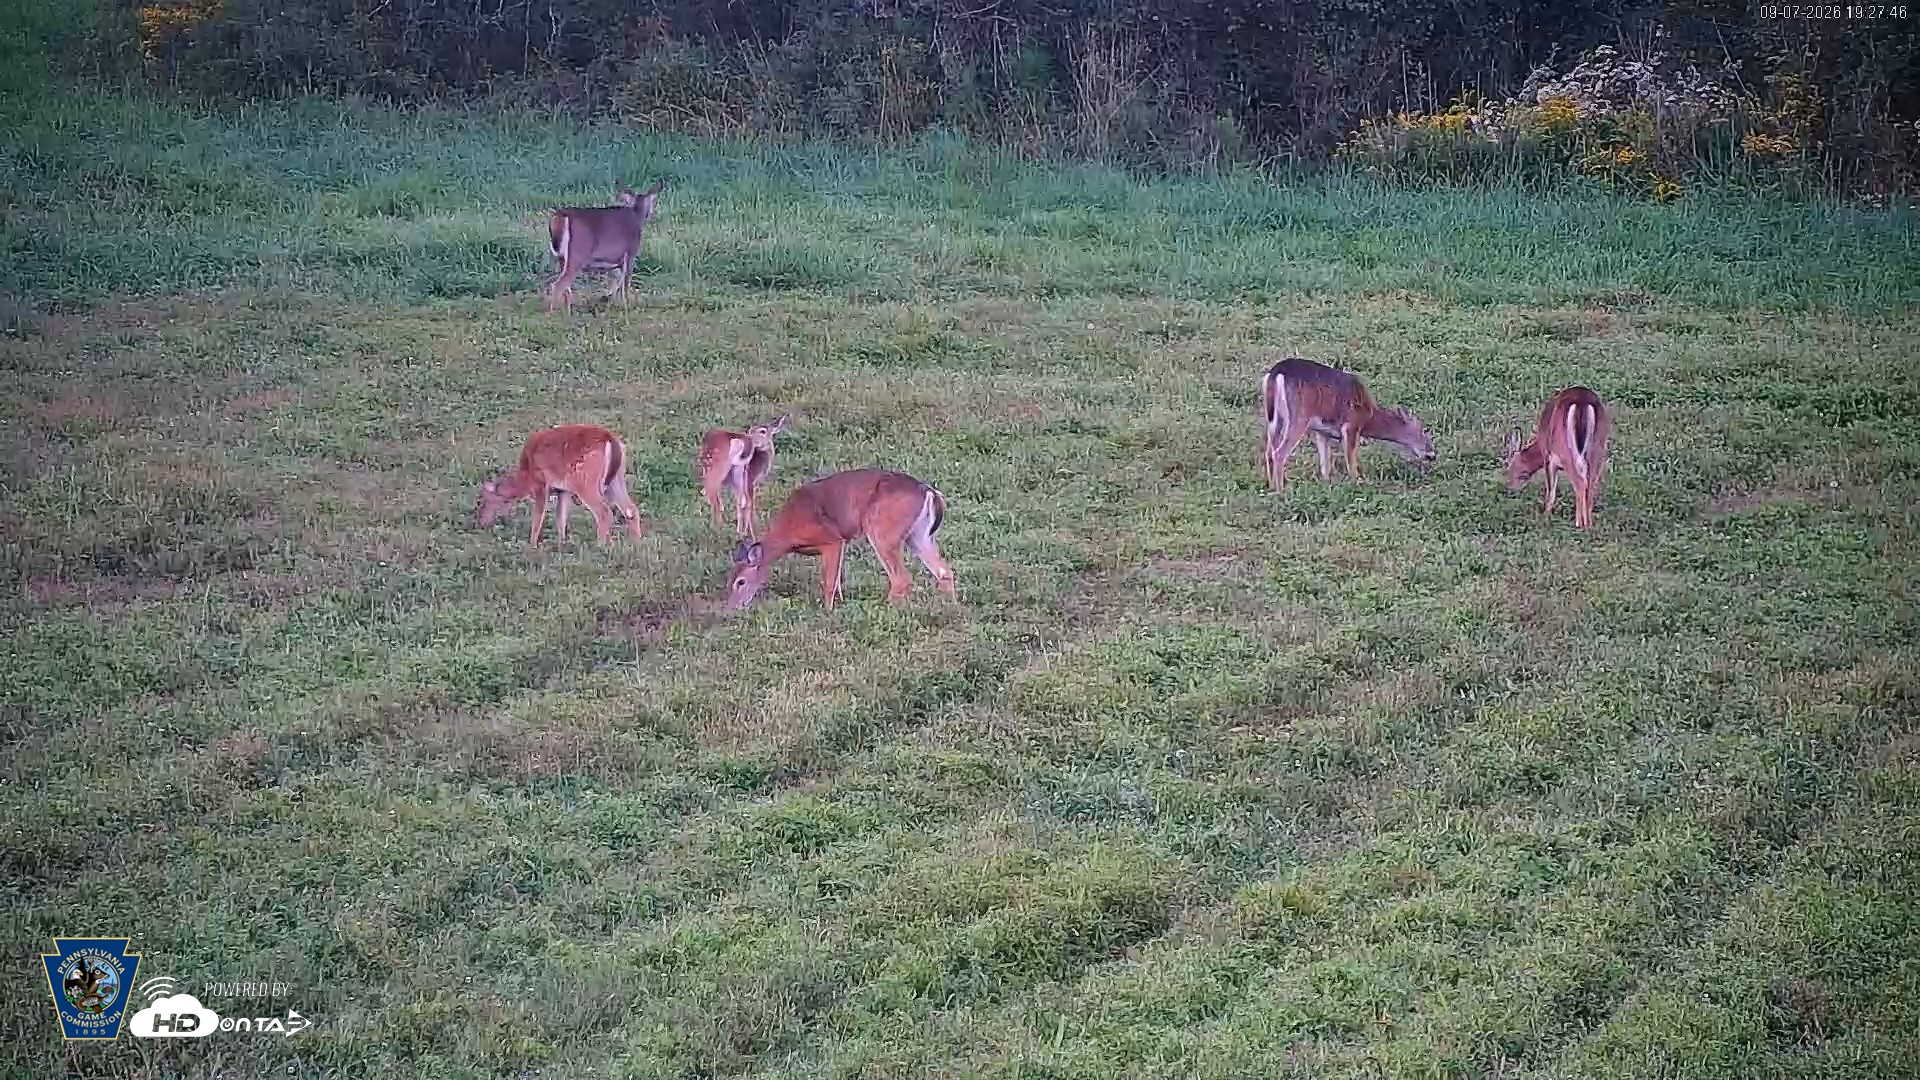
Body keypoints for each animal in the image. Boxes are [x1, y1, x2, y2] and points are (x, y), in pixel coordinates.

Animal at [476, 424, 646, 546]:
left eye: (482, 502)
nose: (480, 523)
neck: (525, 476)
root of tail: (611, 439)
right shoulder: (562, 490)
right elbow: (561, 517)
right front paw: (561, 544)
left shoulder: (541, 484)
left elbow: (538, 517)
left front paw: (532, 545)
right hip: (616, 478)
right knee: (630, 509)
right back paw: (636, 543)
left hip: (586, 482)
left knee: (604, 512)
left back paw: (601, 545)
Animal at [545, 180, 665, 314]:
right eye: (652, 203)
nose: (650, 213)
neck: (636, 214)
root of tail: (560, 216)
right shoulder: (629, 254)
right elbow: (625, 284)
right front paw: (627, 306)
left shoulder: (614, 262)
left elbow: (614, 283)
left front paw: (611, 304)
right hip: (577, 254)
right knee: (558, 285)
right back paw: (553, 314)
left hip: (561, 257)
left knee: (566, 289)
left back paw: (568, 313)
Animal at [724, 469, 956, 612]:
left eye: (740, 581)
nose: (731, 606)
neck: (788, 530)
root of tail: (929, 492)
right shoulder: (839, 542)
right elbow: (836, 580)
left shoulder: (832, 539)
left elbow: (828, 582)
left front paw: (827, 611)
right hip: (919, 535)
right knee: (944, 572)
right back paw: (948, 608)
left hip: (882, 531)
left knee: (902, 578)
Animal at [1260, 355, 1437, 493]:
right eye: (1423, 431)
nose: (1432, 455)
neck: (1369, 416)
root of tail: (1276, 373)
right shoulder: (1351, 425)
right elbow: (1351, 460)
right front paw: (1356, 483)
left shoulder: (1321, 430)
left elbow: (1325, 463)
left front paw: (1327, 485)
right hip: (1298, 416)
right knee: (1279, 453)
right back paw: (1281, 491)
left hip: (1273, 417)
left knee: (1269, 451)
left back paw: (1271, 486)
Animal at [1503, 386, 1613, 529]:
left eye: (1510, 469)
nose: (1510, 489)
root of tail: (1582, 402)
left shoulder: (1548, 457)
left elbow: (1551, 490)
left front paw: (1545, 516)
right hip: (1598, 449)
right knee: (1590, 484)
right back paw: (1588, 524)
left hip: (1565, 449)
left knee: (1580, 481)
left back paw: (1579, 524)